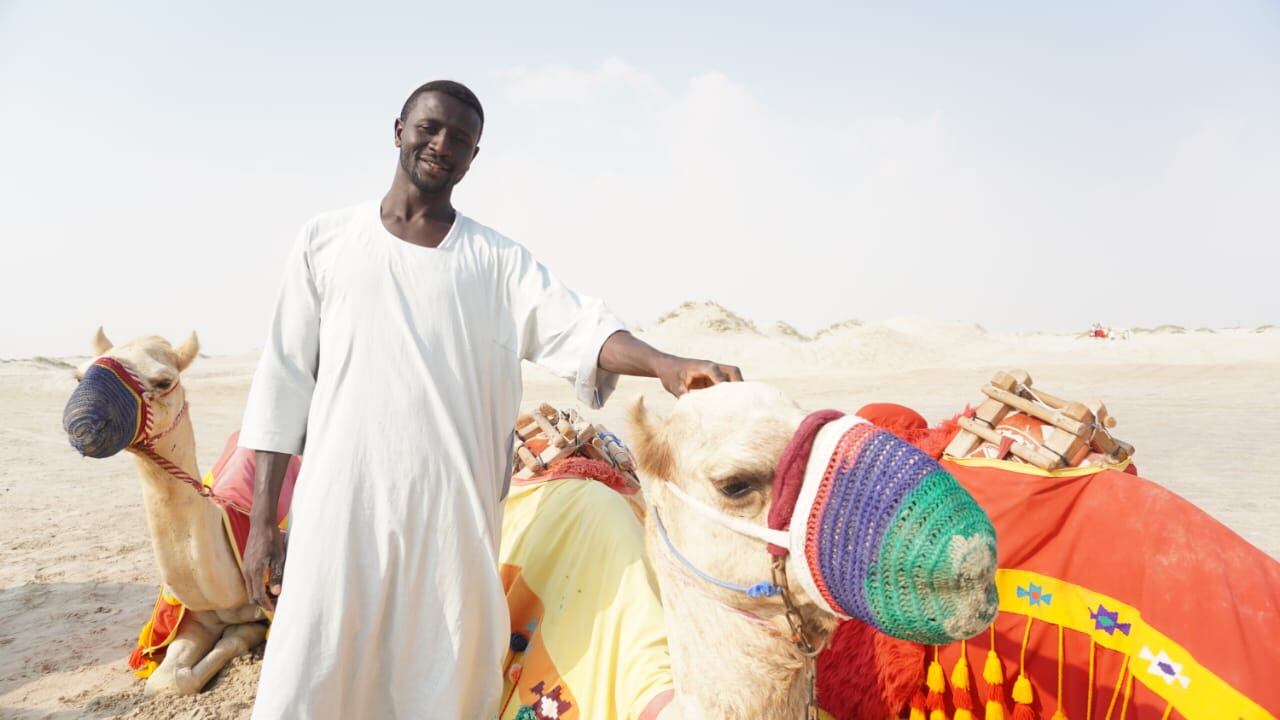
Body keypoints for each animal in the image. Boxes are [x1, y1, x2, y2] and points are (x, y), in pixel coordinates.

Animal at [63, 327, 268, 691]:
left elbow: (239, 634)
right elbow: (167, 679)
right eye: (78, 375)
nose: (82, 425)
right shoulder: (192, 617)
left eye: (163, 381)